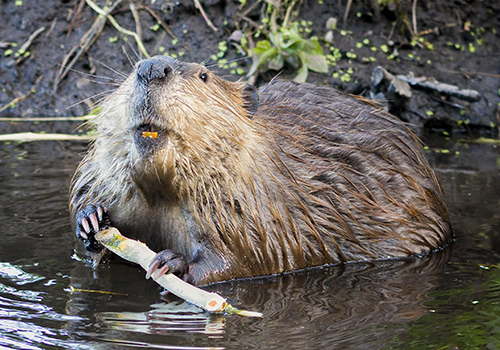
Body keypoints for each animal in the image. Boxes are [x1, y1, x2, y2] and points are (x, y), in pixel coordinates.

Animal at [70, 54, 454, 284]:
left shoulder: (254, 212)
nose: (151, 67)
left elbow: (246, 259)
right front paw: (91, 220)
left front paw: (172, 263)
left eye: (204, 75)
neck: (162, 190)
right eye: (131, 70)